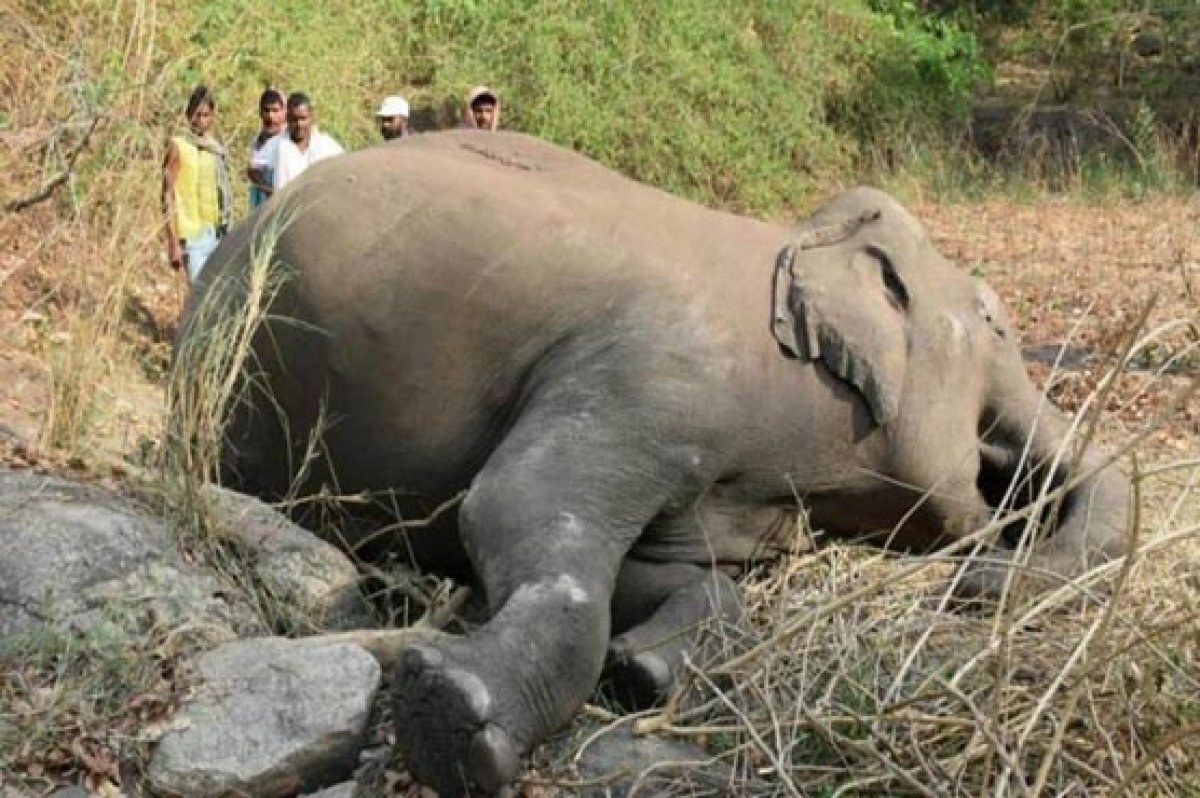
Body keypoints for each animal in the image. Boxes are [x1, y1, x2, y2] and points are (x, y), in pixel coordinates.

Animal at [175, 130, 1123, 796]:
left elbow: (655, 566)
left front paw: (643, 669)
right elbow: (512, 508)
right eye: (998, 325)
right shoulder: (657, 367)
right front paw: (451, 716)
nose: (973, 586)